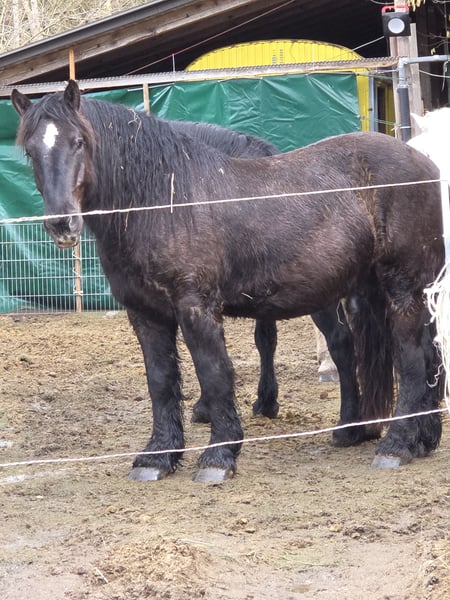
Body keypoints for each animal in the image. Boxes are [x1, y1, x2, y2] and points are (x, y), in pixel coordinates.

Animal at [12, 80, 444, 482]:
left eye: (79, 142)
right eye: (30, 151)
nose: (61, 223)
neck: (166, 199)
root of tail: (426, 165)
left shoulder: (196, 306)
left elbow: (214, 373)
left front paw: (219, 456)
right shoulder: (146, 313)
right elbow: (161, 381)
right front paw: (157, 457)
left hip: (402, 288)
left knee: (410, 358)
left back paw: (397, 445)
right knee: (426, 354)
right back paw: (417, 439)